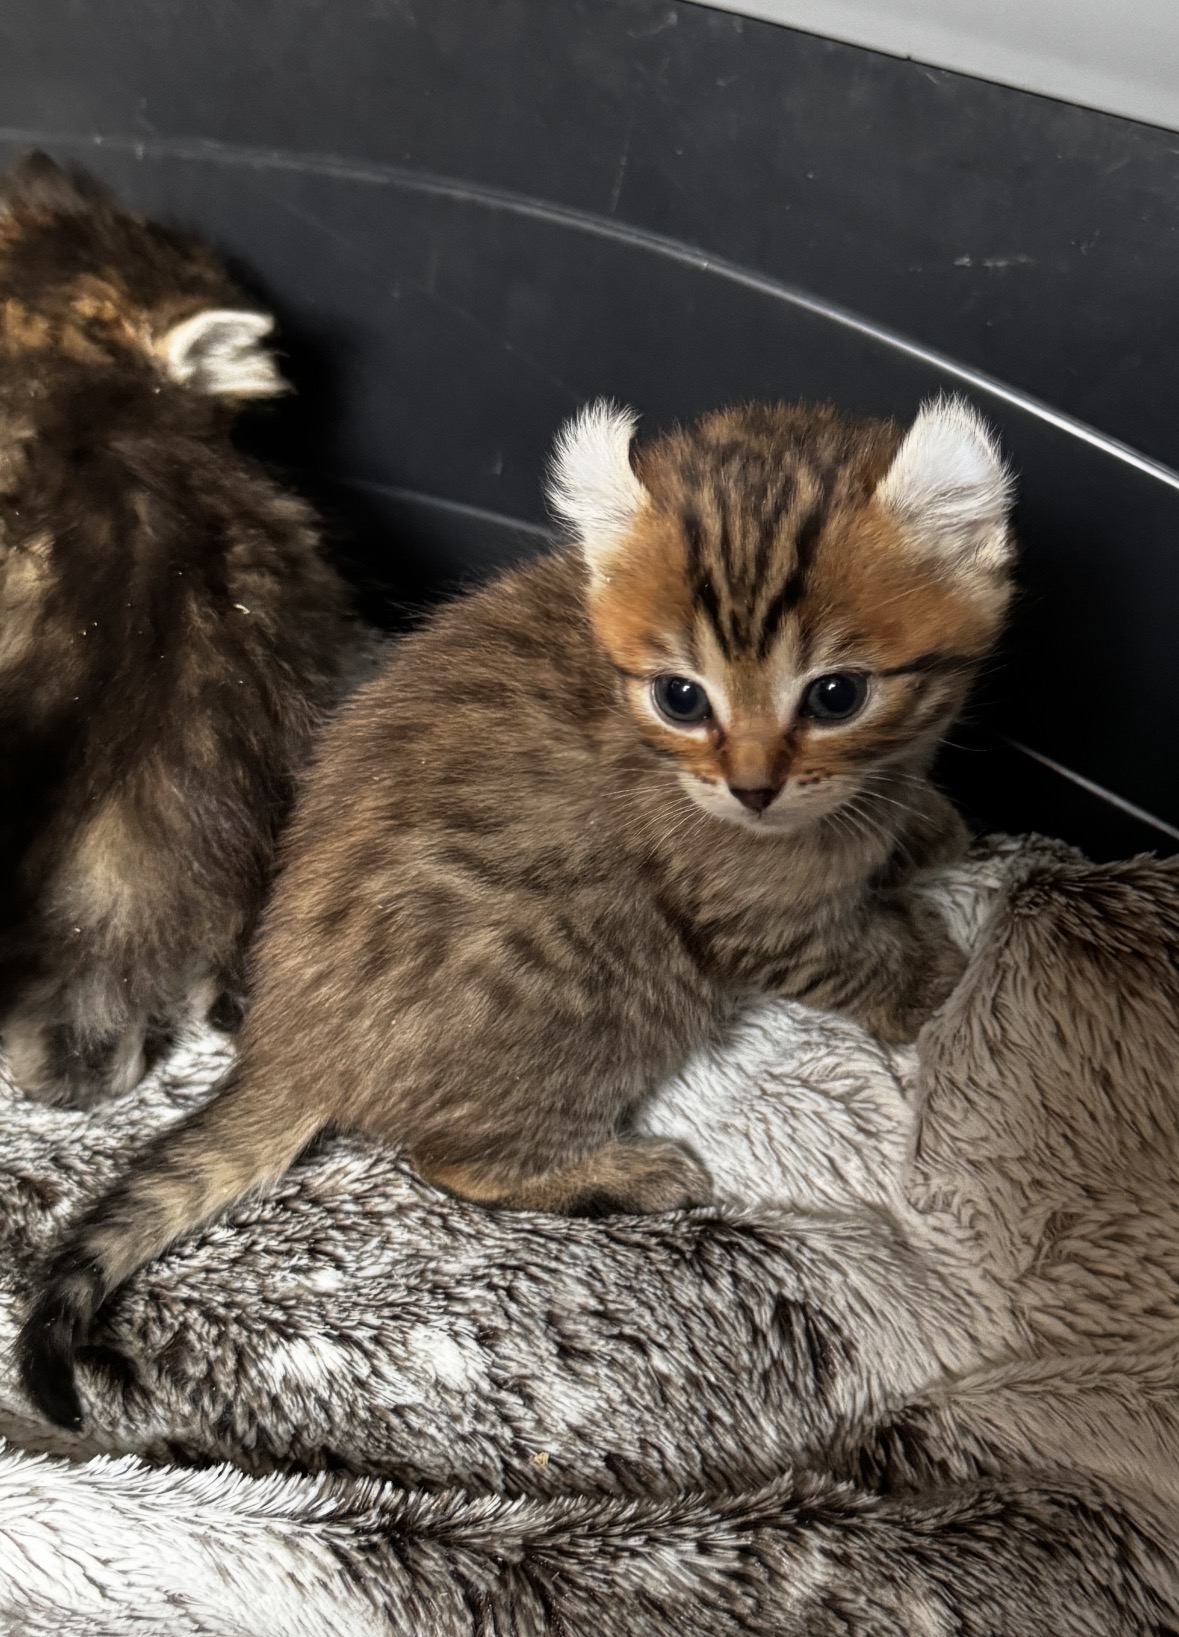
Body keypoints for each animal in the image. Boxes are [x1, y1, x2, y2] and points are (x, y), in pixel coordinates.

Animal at [19, 391, 1015, 1430]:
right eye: (681, 697)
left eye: (835, 695)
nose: (751, 788)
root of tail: (287, 1042)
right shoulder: (751, 919)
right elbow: (849, 956)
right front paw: (939, 984)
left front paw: (924, 829)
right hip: (603, 991)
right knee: (447, 1159)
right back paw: (618, 1172)